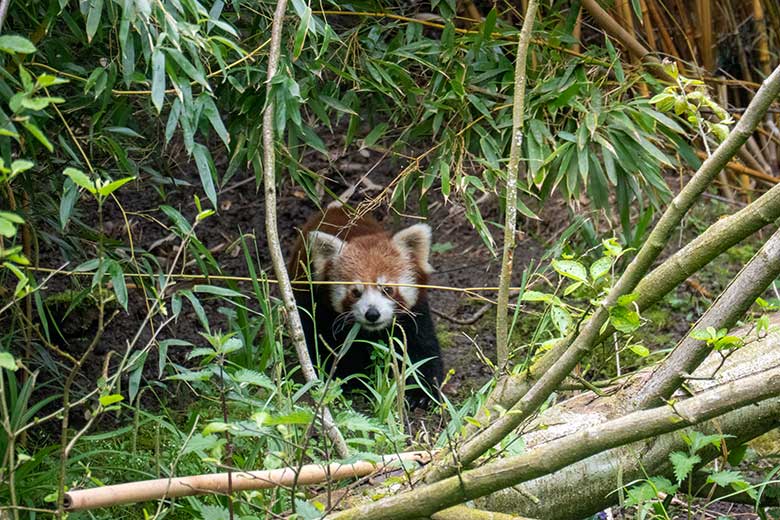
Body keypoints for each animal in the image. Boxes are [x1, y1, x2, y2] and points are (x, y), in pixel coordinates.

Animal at [288, 204, 444, 406]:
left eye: (387, 289)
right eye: (355, 292)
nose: (372, 314)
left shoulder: (416, 313)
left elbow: (420, 349)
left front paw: (421, 392)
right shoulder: (323, 312)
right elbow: (330, 348)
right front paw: (351, 381)